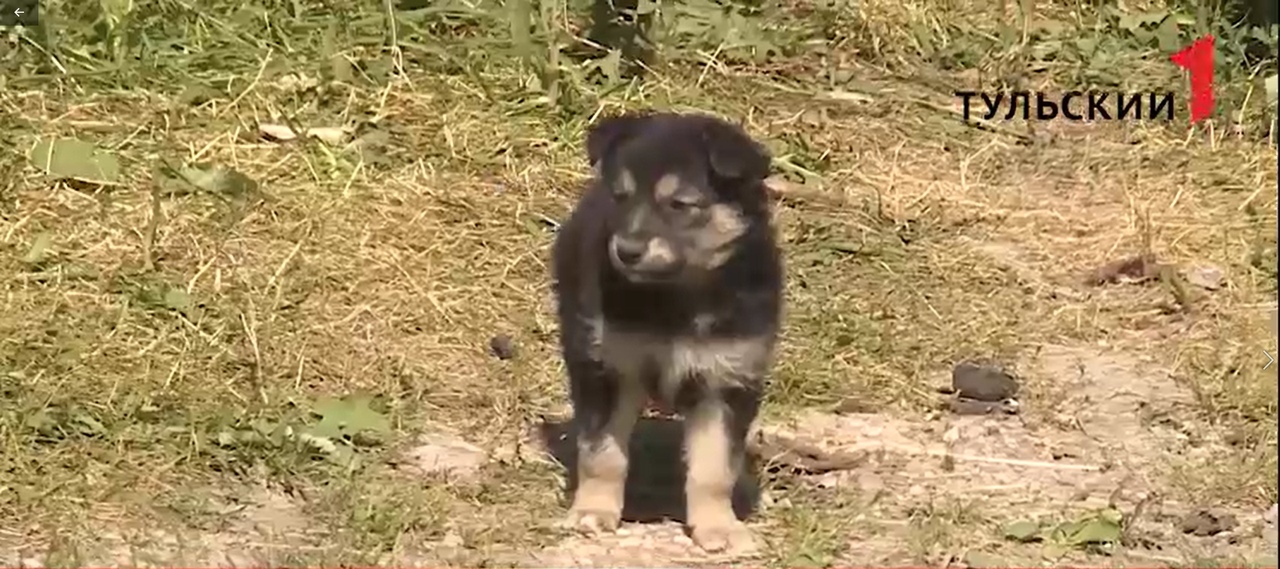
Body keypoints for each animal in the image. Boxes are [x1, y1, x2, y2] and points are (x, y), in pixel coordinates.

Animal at [547, 109, 778, 549]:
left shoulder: (727, 380)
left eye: (679, 204)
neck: (674, 294)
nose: (626, 252)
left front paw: (718, 526)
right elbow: (602, 453)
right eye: (621, 196)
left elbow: (714, 466)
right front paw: (593, 511)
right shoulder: (608, 368)